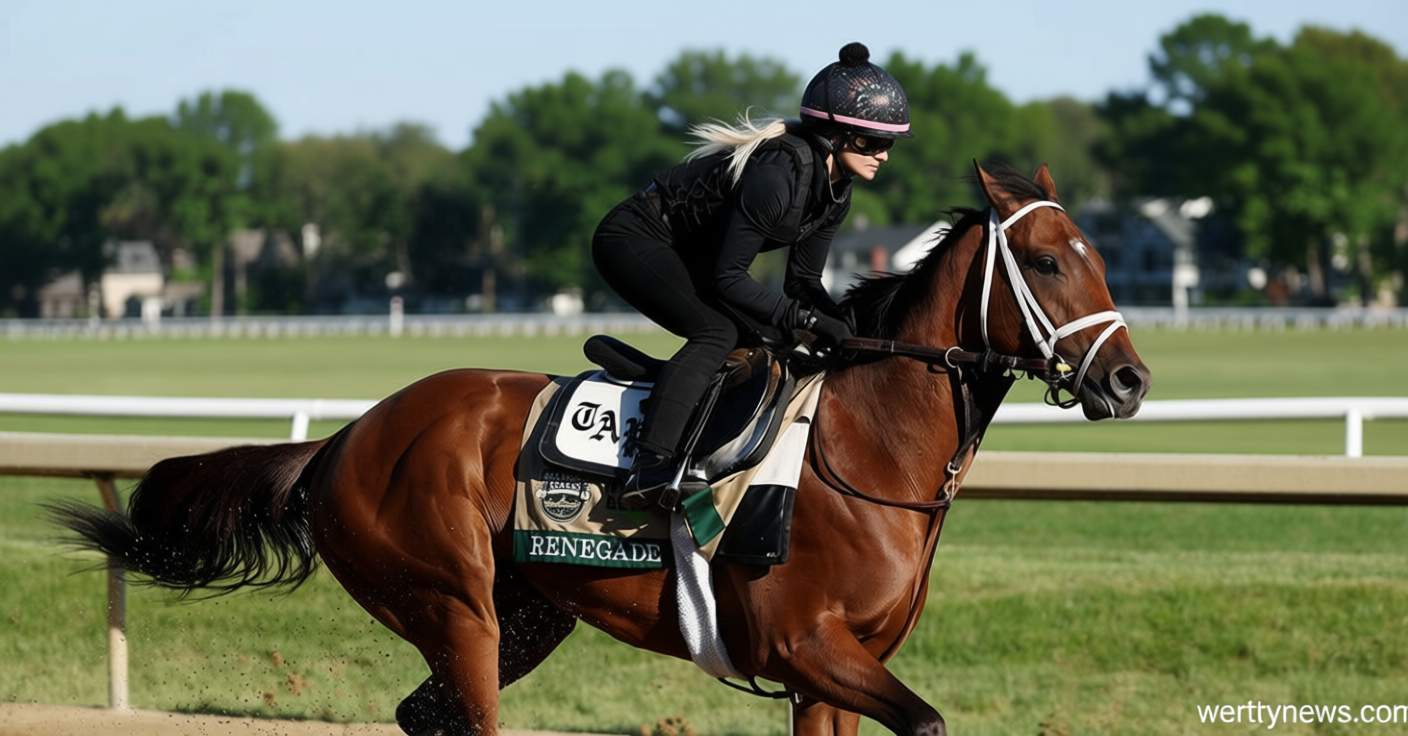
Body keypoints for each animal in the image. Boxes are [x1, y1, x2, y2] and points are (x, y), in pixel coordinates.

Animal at [51, 162, 1150, 736]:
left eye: (1099, 253)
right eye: (1046, 260)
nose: (1129, 381)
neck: (862, 451)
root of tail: (344, 441)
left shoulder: (828, 671)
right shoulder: (808, 646)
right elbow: (925, 721)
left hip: (529, 613)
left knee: (422, 713)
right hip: (454, 607)